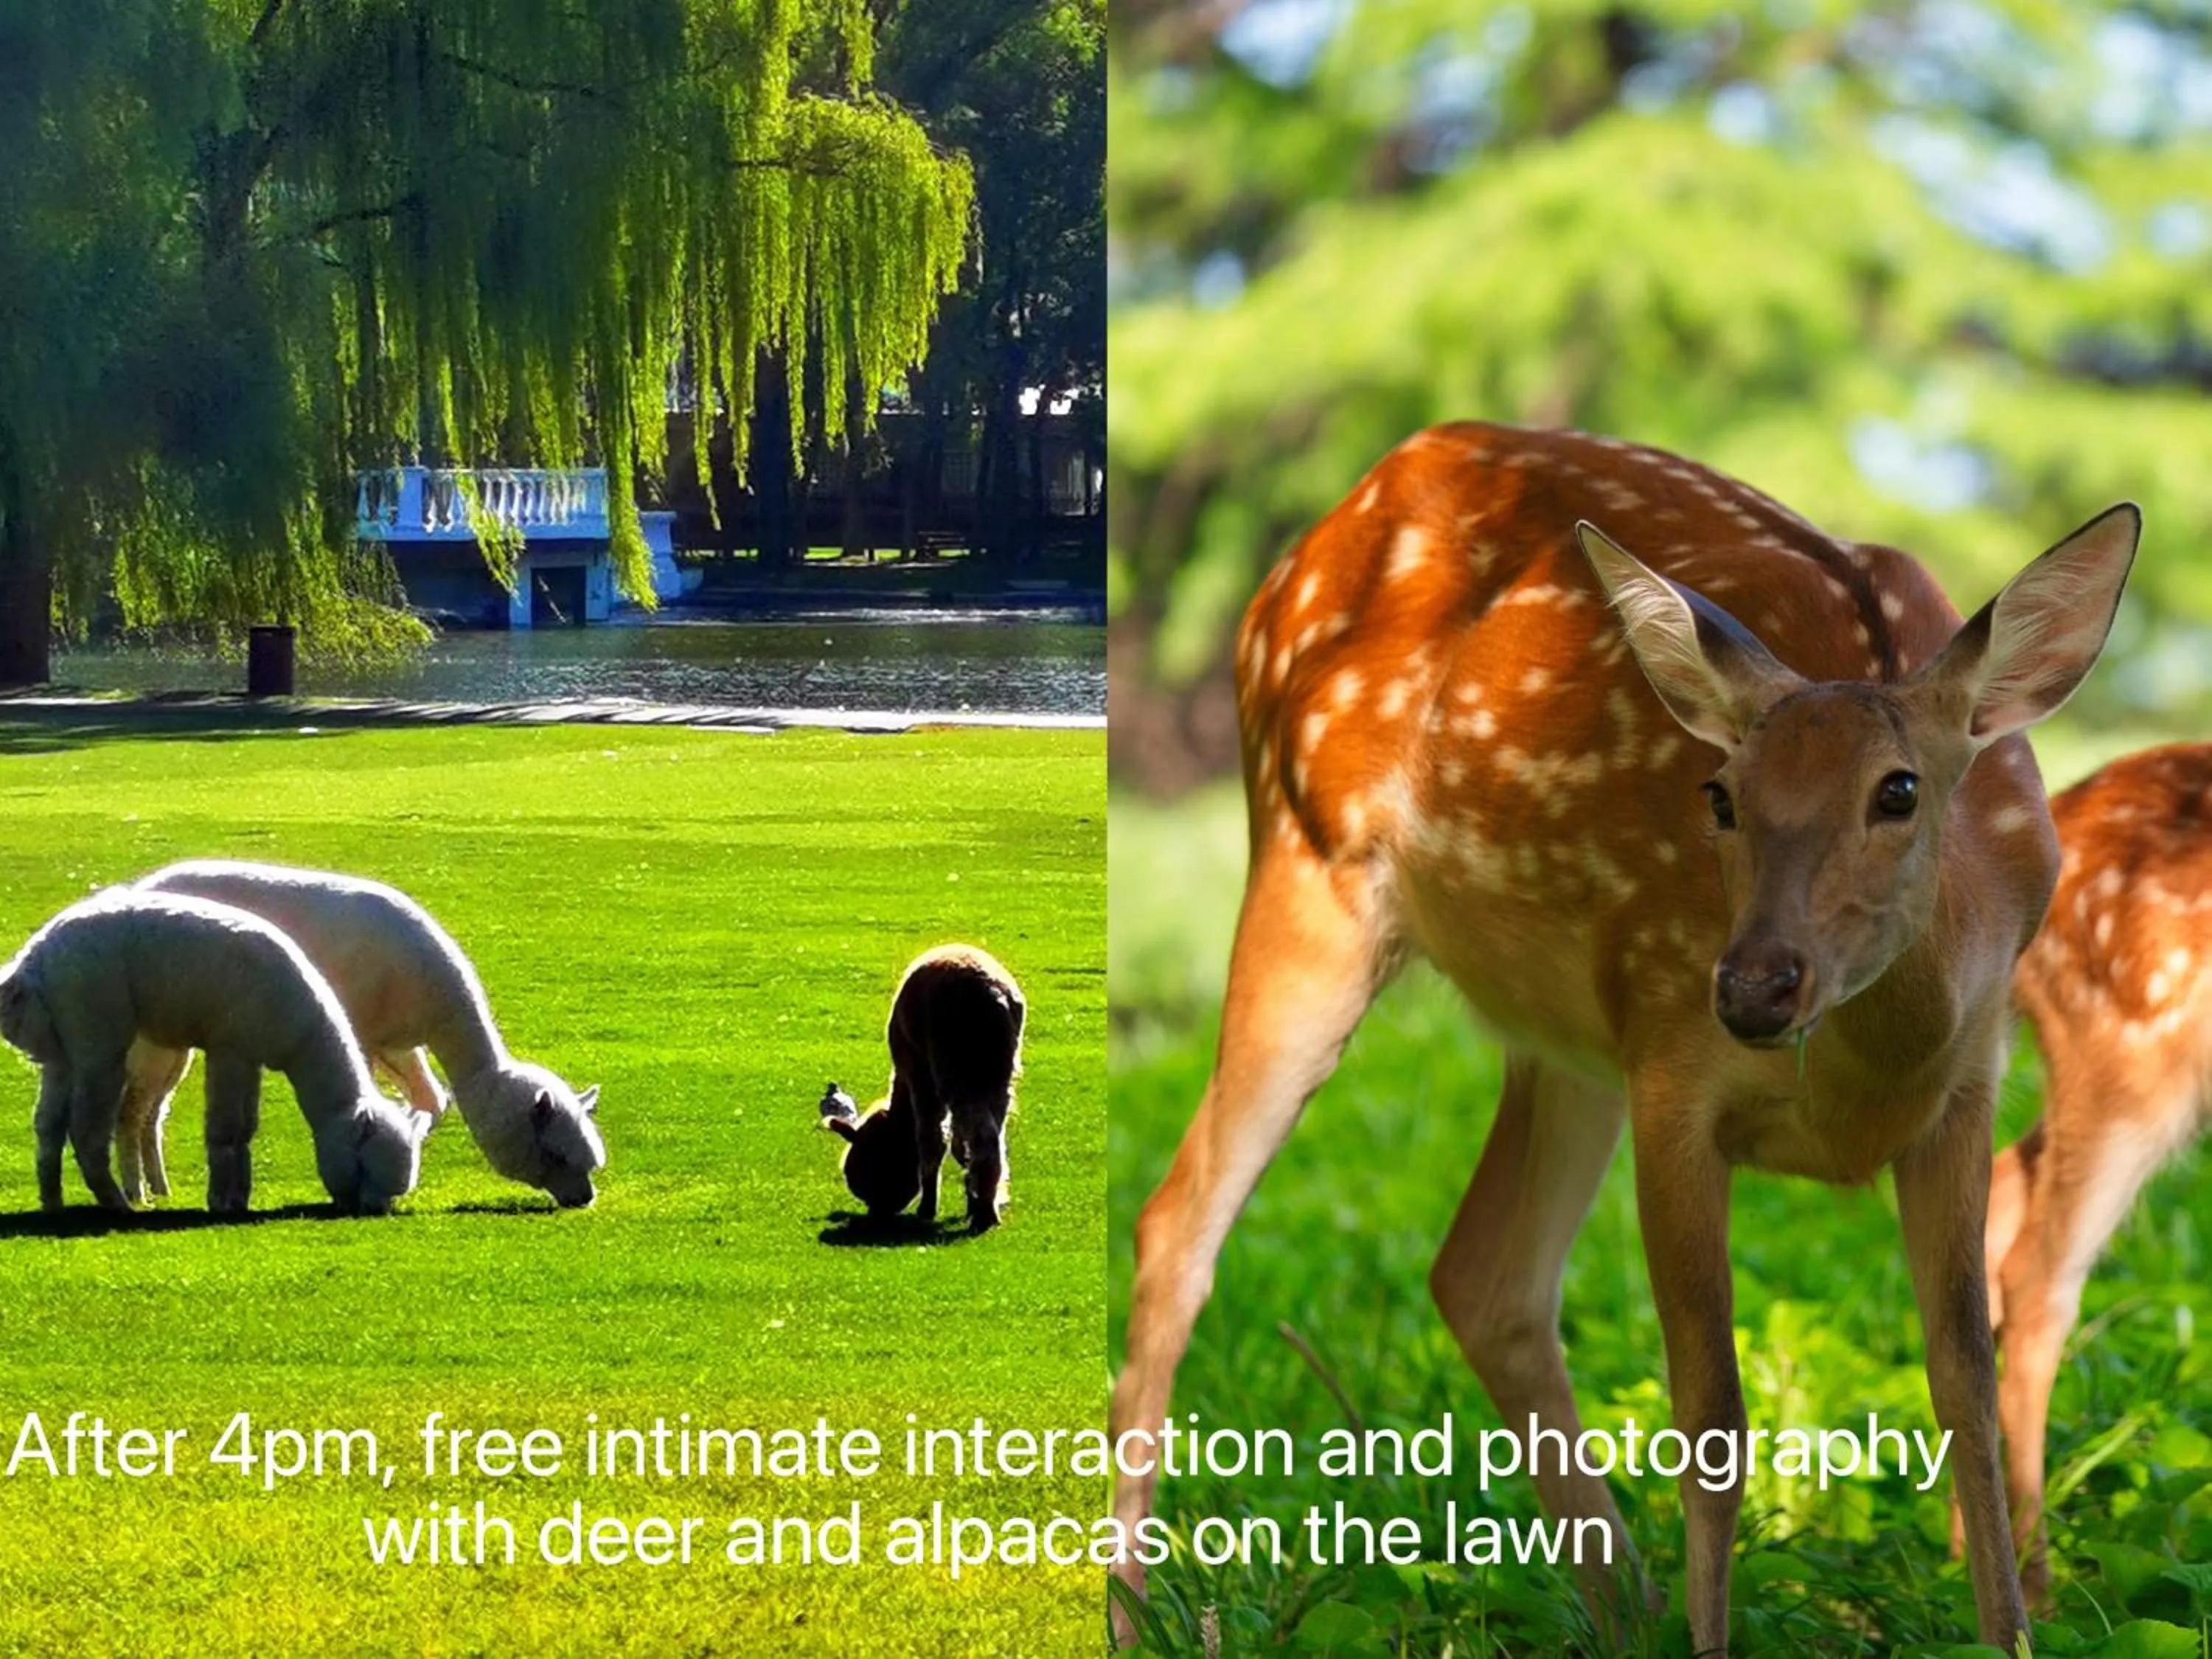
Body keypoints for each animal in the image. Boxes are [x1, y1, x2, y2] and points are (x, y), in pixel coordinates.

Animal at [1107, 421, 2140, 1655]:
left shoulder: (1964, 1086)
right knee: (1179, 1221)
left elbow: (1965, 1381)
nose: (1753, 985)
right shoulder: (1675, 1074)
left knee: (1484, 1275)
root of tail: (1304, 550)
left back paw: (1625, 1608)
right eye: (1721, 795)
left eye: (1898, 790)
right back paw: (1127, 1609)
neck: (1866, 1070)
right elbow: (1713, 1409)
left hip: (1566, 1034)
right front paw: (1712, 1640)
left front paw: (2009, 1631)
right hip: (1312, 870)